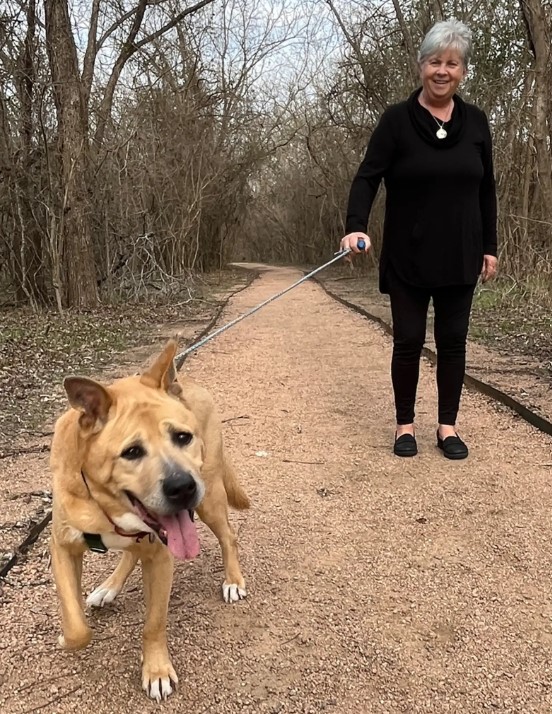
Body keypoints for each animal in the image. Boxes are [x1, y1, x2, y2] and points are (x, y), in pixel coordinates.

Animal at [50, 338, 249, 696]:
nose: (183, 487)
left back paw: (233, 580)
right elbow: (76, 628)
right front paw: (67, 634)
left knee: (228, 536)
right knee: (131, 552)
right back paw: (108, 587)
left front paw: (156, 670)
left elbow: (154, 623)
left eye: (182, 437)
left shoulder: (160, 557)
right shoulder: (62, 547)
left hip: (210, 499)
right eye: (131, 452)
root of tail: (186, 386)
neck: (107, 506)